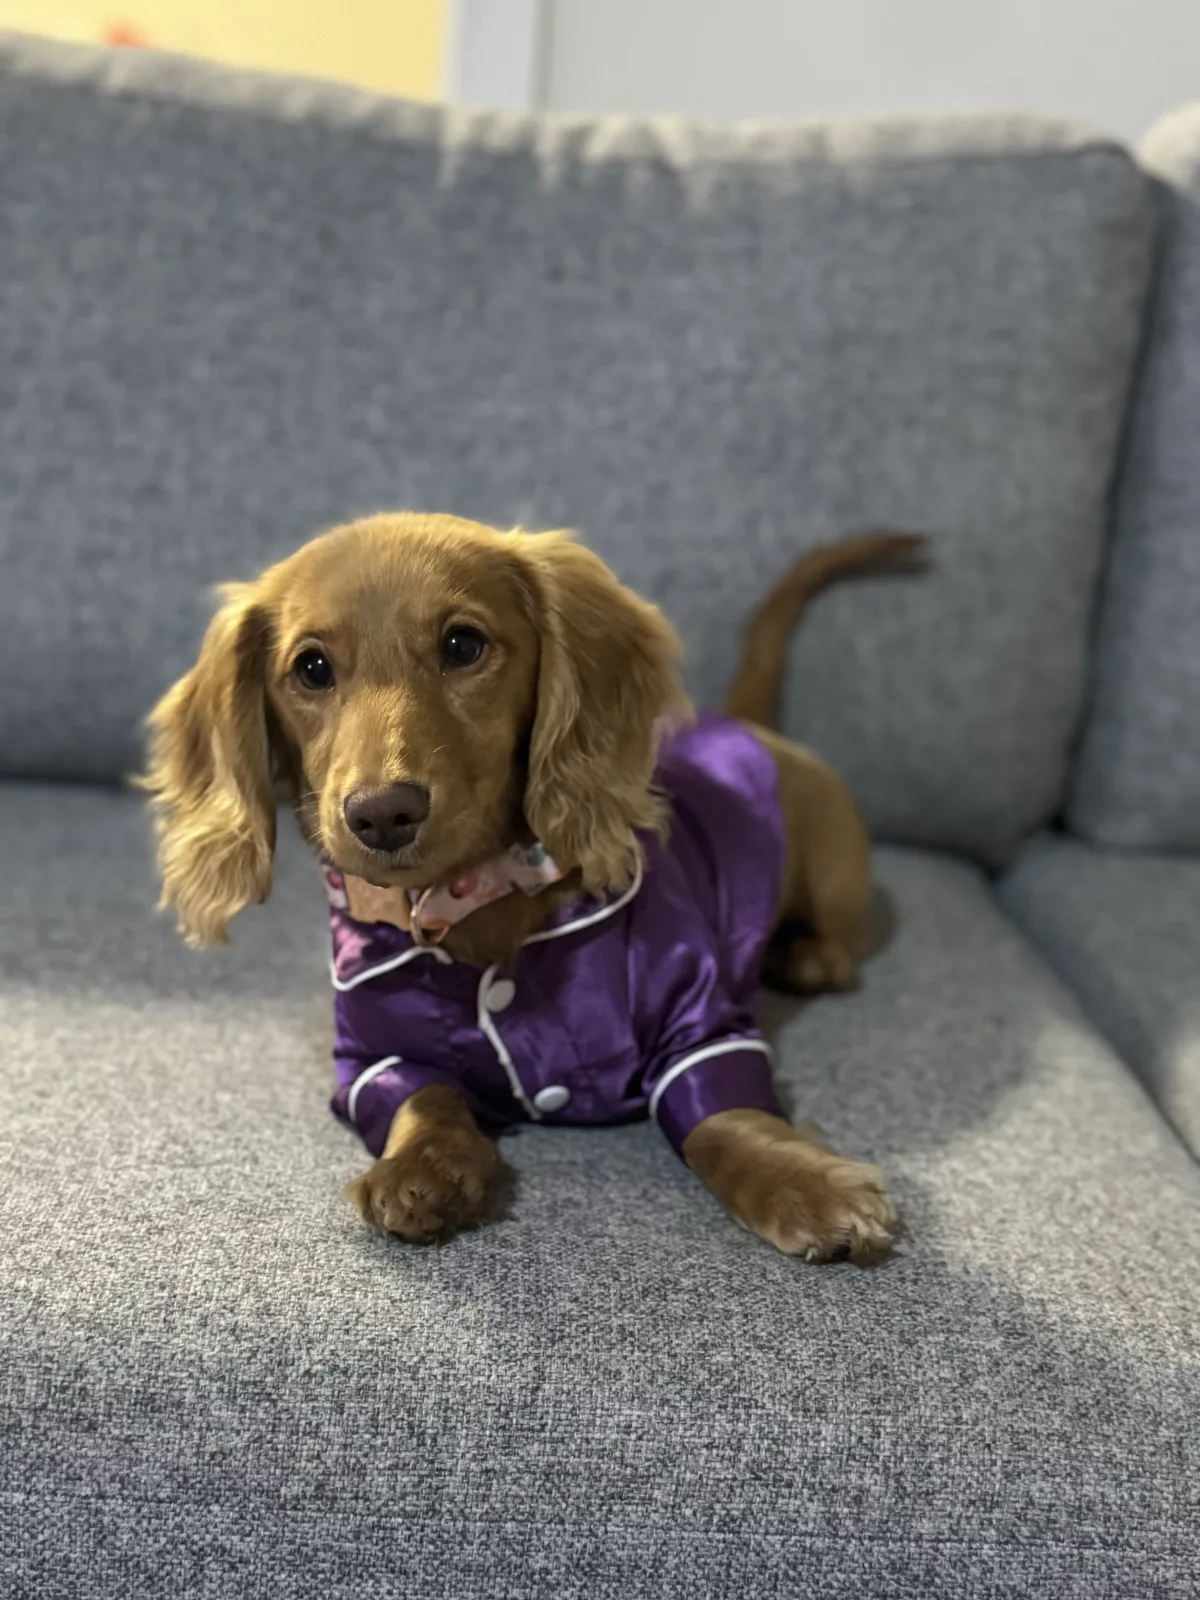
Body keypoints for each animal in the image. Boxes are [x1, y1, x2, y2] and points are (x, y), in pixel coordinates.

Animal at [139, 513, 922, 1261]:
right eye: (311, 668)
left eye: (462, 645)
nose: (382, 813)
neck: (470, 895)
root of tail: (744, 725)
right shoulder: (372, 1056)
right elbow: (423, 1097)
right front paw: (424, 1167)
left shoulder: (700, 1017)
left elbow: (726, 1118)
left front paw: (803, 1183)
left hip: (831, 867)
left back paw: (807, 956)